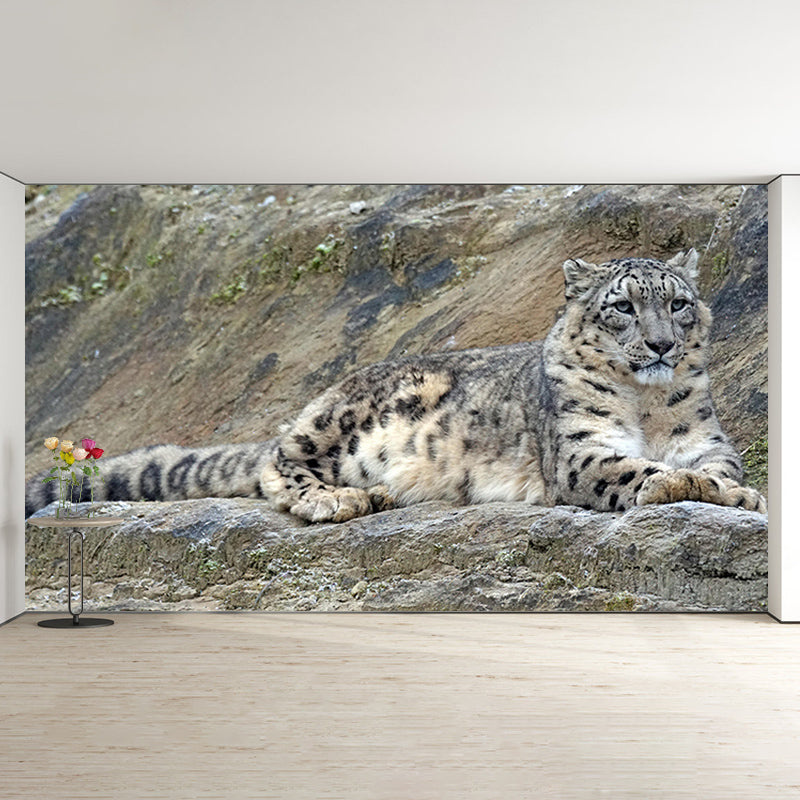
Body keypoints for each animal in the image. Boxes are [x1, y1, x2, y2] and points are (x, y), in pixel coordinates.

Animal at [25, 248, 767, 522]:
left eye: (679, 303)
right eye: (623, 306)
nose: (663, 344)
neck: (647, 405)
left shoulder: (707, 438)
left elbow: (715, 466)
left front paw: (732, 490)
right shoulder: (581, 449)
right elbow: (636, 470)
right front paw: (689, 487)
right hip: (338, 416)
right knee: (276, 461)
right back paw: (338, 499)